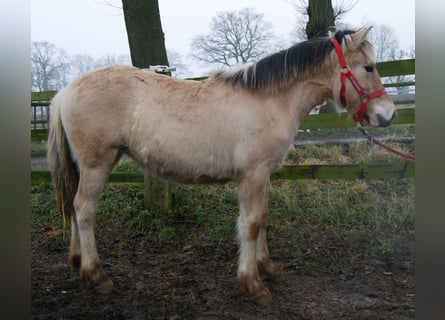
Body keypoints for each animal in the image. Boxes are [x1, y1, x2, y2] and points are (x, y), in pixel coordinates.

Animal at [47, 26, 396, 302]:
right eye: (368, 67)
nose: (388, 114)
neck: (269, 100)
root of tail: (65, 91)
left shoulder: (264, 175)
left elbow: (262, 219)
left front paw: (268, 268)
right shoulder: (253, 175)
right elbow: (251, 224)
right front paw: (252, 283)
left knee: (76, 208)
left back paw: (78, 261)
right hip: (97, 164)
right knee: (84, 210)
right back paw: (97, 275)